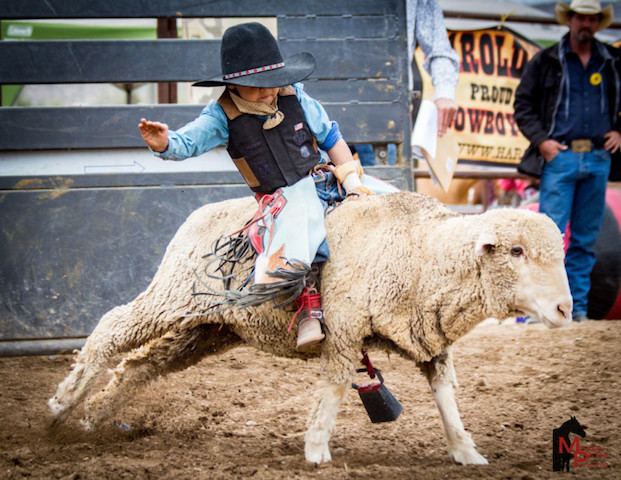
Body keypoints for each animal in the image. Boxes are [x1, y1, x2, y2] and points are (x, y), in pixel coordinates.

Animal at [48, 191, 572, 464]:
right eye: (517, 251)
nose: (566, 309)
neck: (421, 252)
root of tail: (197, 213)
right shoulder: (342, 330)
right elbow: (336, 388)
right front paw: (317, 448)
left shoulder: (427, 339)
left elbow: (446, 397)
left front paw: (466, 452)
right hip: (173, 297)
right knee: (112, 328)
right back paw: (60, 405)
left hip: (209, 328)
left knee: (140, 366)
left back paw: (91, 420)